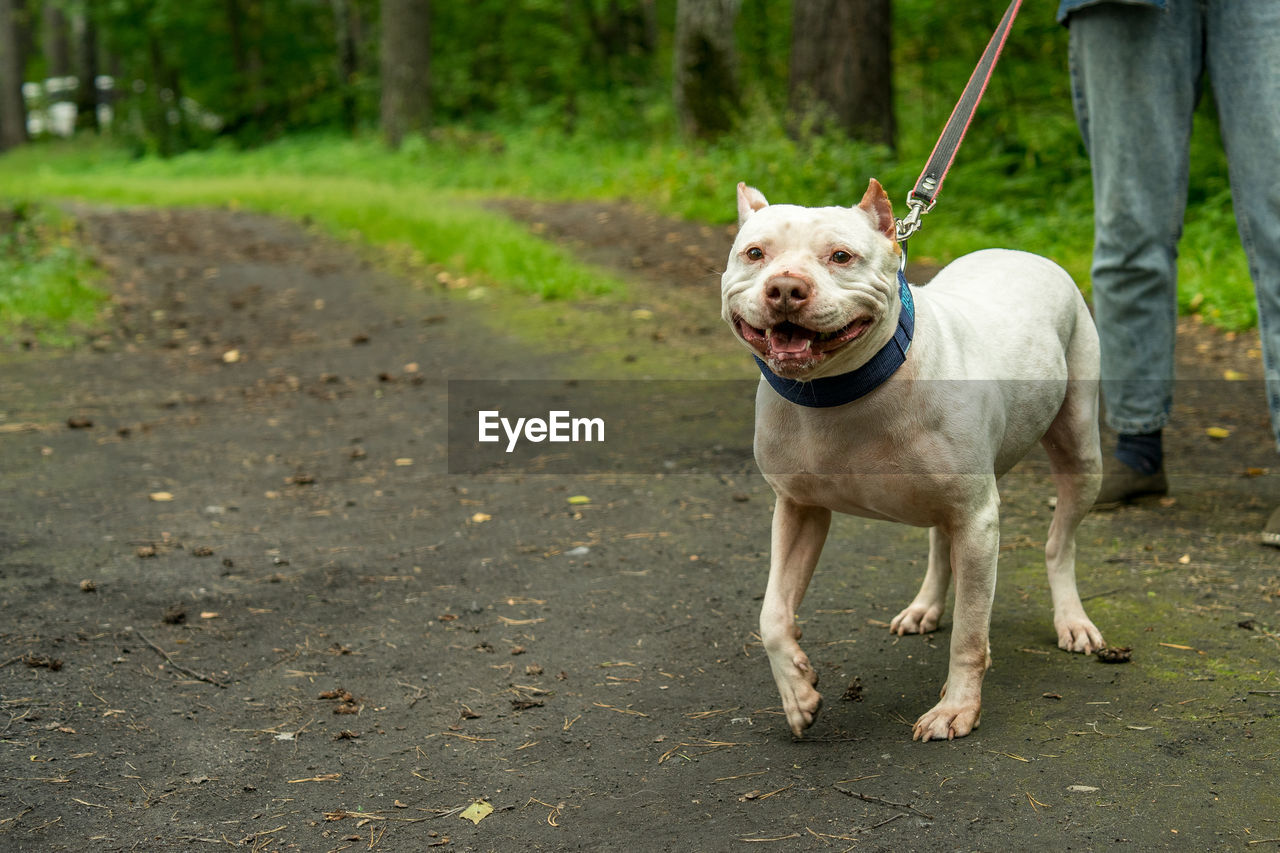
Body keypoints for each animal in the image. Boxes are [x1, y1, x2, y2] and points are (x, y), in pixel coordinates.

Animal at [727, 179, 1105, 737]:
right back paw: (925, 606)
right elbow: (772, 615)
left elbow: (970, 633)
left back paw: (1072, 621)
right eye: (755, 254)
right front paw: (797, 692)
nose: (786, 288)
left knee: (1060, 544)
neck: (840, 392)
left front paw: (956, 708)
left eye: (841, 256)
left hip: (1081, 454)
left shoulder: (978, 520)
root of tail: (1023, 252)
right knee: (939, 544)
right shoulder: (799, 508)